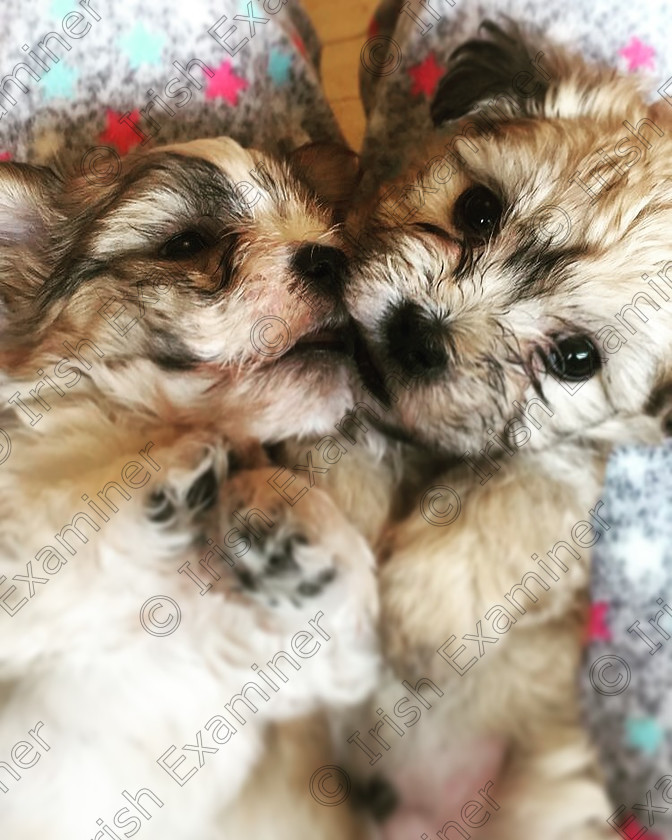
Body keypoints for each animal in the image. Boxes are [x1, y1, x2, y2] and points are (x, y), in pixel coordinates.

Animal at [0, 138, 378, 840]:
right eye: (185, 243)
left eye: (325, 225)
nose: (330, 256)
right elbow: (52, 536)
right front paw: (176, 476)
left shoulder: (272, 674)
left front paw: (289, 520)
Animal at [344, 19, 672, 840]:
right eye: (478, 210)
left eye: (576, 358)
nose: (419, 335)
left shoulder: (571, 470)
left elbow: (521, 485)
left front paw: (422, 611)